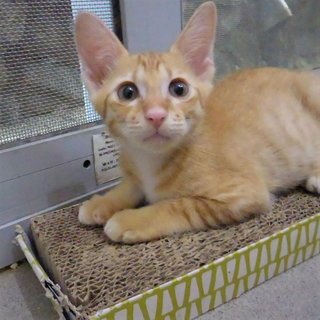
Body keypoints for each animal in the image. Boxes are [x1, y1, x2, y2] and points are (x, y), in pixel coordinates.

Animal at [74, 1, 320, 242]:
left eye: (179, 89)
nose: (156, 115)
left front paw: (132, 219)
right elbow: (132, 185)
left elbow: (180, 205)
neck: (151, 161)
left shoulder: (246, 193)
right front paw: (105, 201)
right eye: (127, 92)